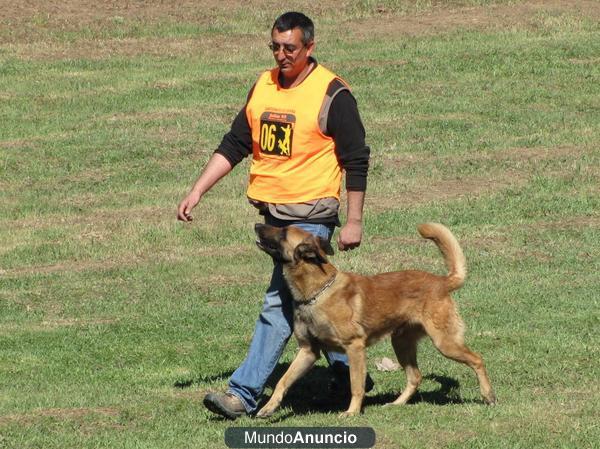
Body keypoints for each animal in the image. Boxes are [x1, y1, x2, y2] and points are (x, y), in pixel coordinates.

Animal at [254, 222, 496, 418]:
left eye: (283, 232)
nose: (257, 224)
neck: (317, 292)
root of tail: (443, 282)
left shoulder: (355, 348)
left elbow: (356, 385)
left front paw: (352, 412)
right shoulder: (308, 351)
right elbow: (283, 381)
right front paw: (268, 407)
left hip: (445, 343)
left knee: (477, 360)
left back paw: (488, 395)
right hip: (401, 344)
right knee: (415, 377)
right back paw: (396, 404)